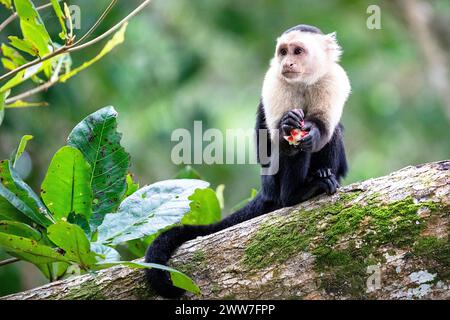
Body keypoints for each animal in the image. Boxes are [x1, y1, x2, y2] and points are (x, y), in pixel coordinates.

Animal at [146, 24, 350, 298]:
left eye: (297, 51)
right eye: (283, 52)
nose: (287, 62)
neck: (303, 83)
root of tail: (267, 192)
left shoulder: (334, 80)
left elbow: (325, 127)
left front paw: (314, 132)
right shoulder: (273, 83)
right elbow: (268, 147)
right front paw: (287, 128)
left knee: (334, 134)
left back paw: (320, 177)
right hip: (271, 184)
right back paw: (296, 194)